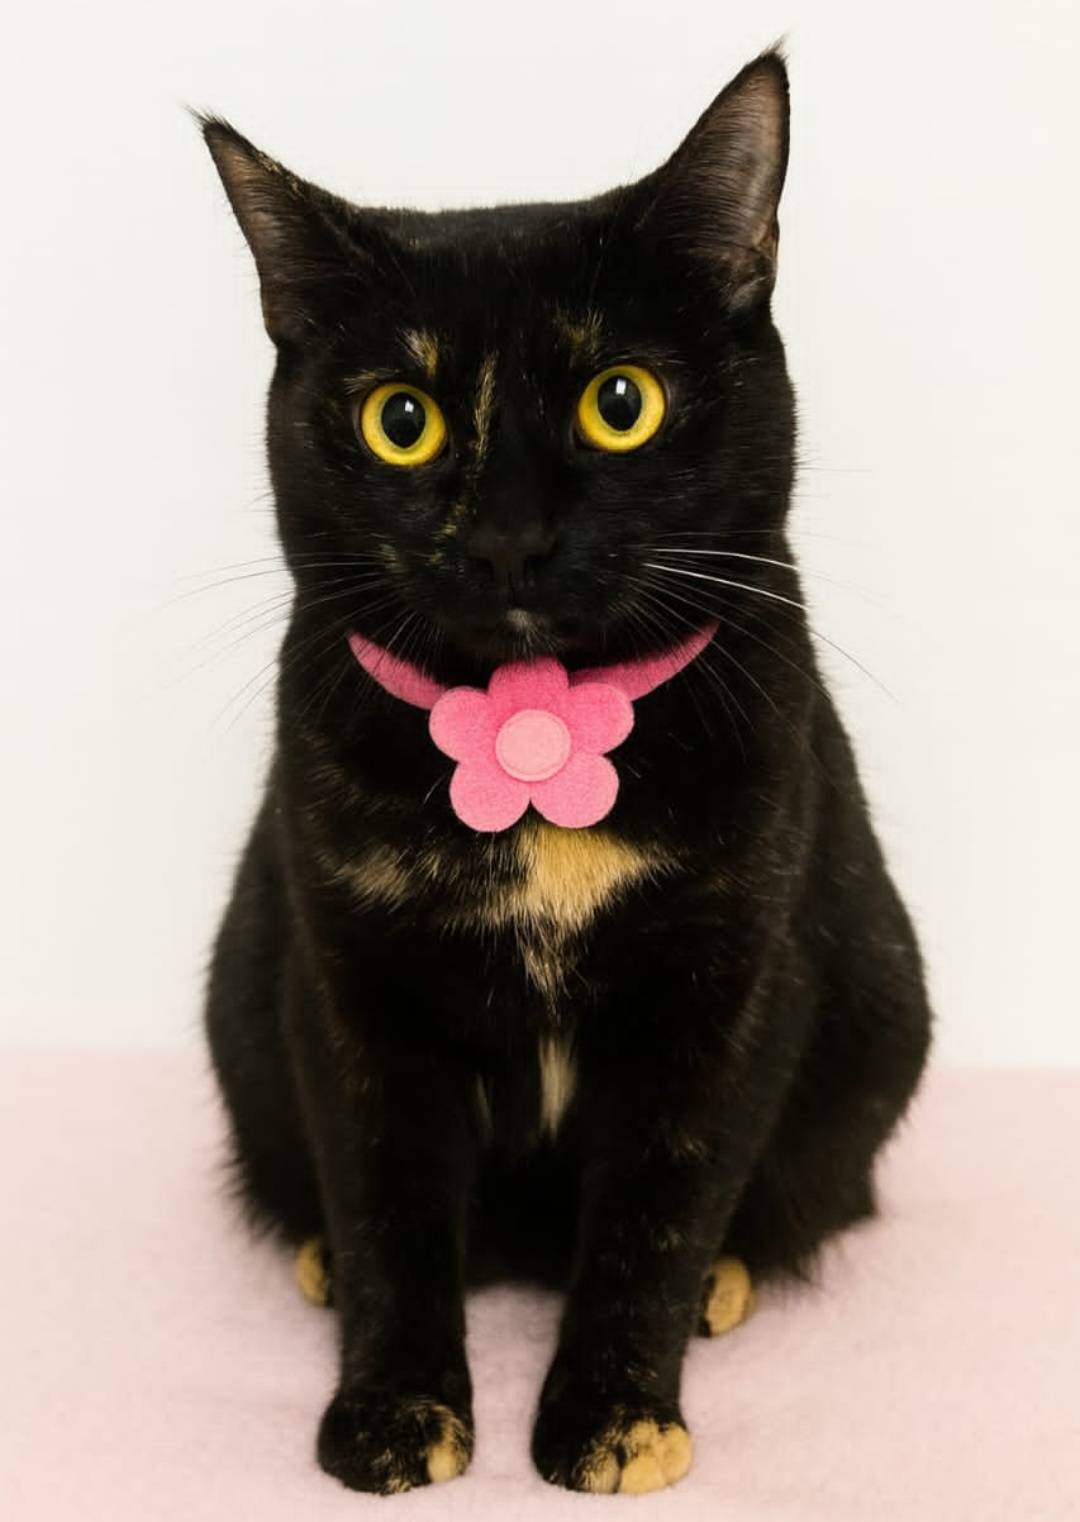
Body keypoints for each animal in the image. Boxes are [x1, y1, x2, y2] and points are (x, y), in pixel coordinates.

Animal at [201, 48, 932, 1496]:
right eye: (402, 419)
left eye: (621, 401)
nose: (507, 538)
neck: (536, 735)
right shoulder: (351, 986)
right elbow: (389, 1207)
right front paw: (393, 1413)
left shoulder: (727, 985)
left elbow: (658, 1214)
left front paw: (614, 1418)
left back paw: (725, 1286)